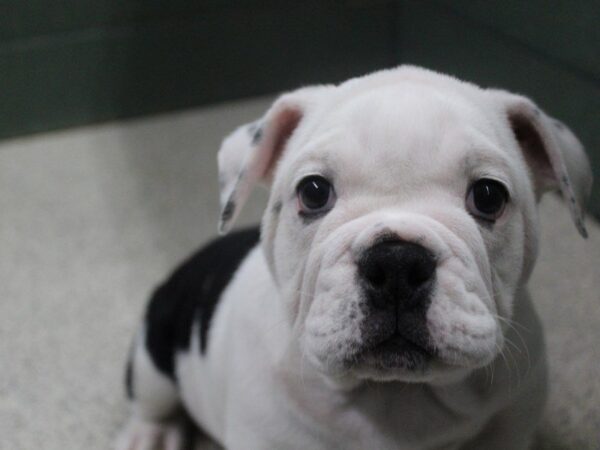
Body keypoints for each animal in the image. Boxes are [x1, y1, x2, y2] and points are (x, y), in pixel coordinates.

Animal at [116, 67, 592, 450]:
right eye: (313, 192)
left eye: (490, 196)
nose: (397, 262)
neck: (395, 393)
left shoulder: (512, 423)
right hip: (153, 353)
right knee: (152, 399)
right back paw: (150, 435)